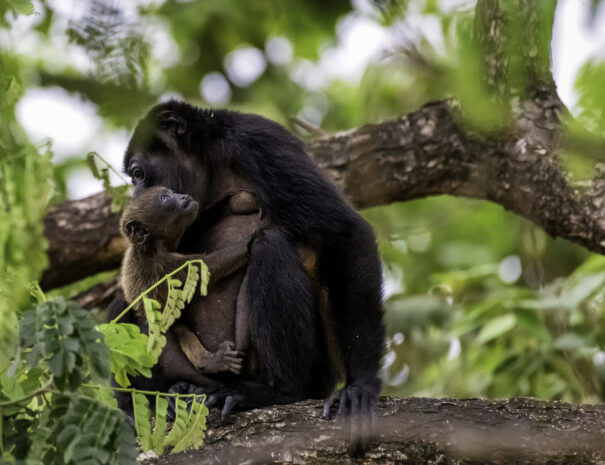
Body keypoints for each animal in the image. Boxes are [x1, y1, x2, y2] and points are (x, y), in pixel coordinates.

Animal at [119, 183, 248, 376]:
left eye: (172, 192)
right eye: (166, 198)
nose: (184, 196)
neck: (151, 248)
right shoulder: (163, 266)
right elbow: (208, 266)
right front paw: (253, 240)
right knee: (180, 330)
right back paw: (209, 362)